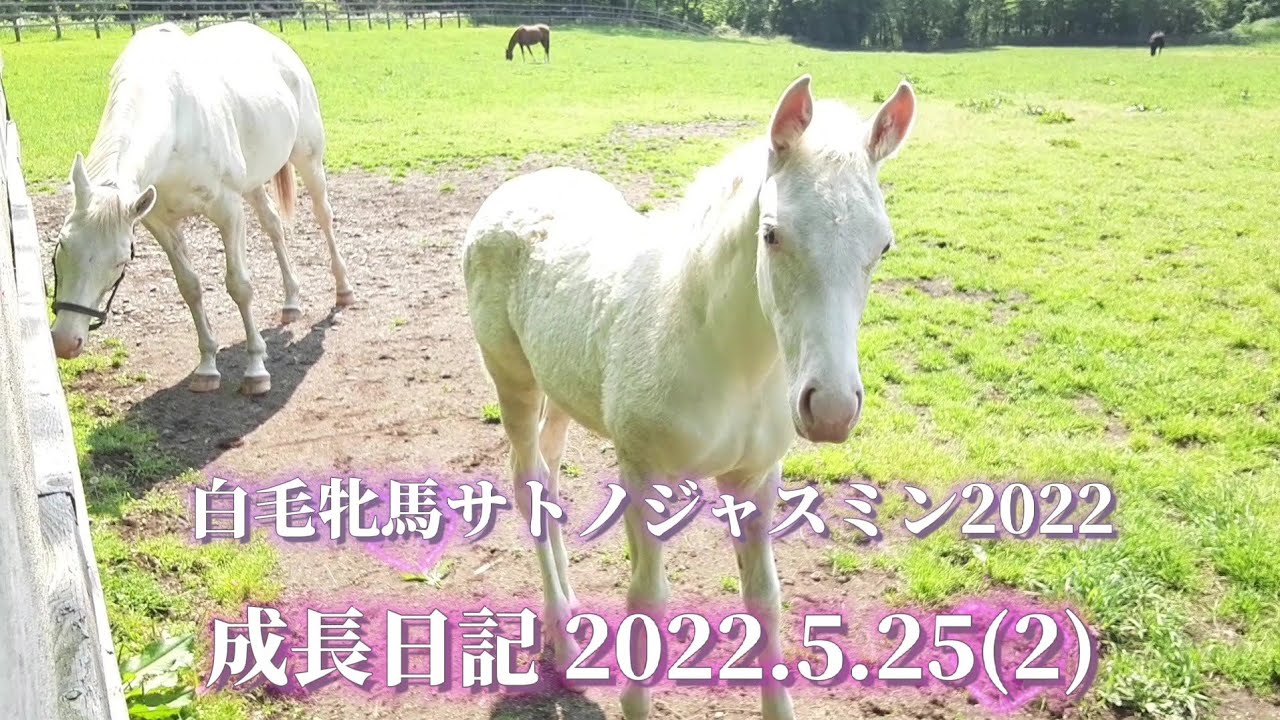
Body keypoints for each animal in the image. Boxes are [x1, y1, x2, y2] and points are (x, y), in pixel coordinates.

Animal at [48, 21, 353, 396]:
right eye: (60, 250)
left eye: (119, 263)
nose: (65, 341)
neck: (176, 123)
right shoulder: (160, 223)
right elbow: (189, 287)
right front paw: (207, 367)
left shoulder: (228, 210)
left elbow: (239, 285)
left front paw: (256, 370)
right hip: (253, 183)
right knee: (273, 225)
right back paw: (291, 302)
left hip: (307, 159)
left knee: (324, 216)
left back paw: (343, 290)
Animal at [462, 74, 916, 720]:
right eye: (771, 234)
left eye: (883, 246)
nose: (830, 409)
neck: (731, 360)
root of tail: (517, 188)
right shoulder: (642, 469)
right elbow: (648, 600)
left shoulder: (756, 478)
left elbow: (764, 599)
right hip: (513, 378)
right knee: (527, 483)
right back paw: (563, 639)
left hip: (563, 388)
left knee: (548, 475)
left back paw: (567, 619)